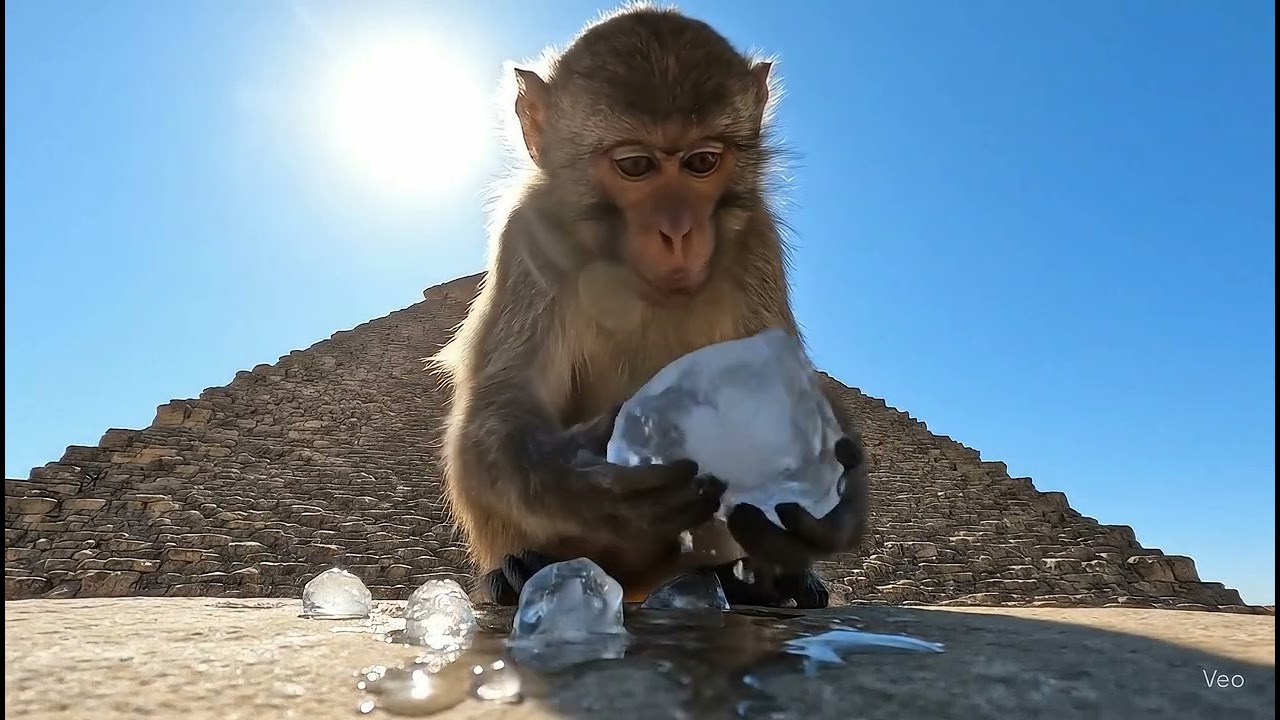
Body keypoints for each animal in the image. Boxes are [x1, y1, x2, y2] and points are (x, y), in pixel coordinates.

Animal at [432, 3, 870, 610]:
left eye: (702, 162)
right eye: (636, 166)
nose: (678, 231)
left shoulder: (756, 237)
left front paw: (836, 503)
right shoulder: (529, 230)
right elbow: (497, 404)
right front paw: (582, 483)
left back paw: (760, 580)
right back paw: (523, 569)